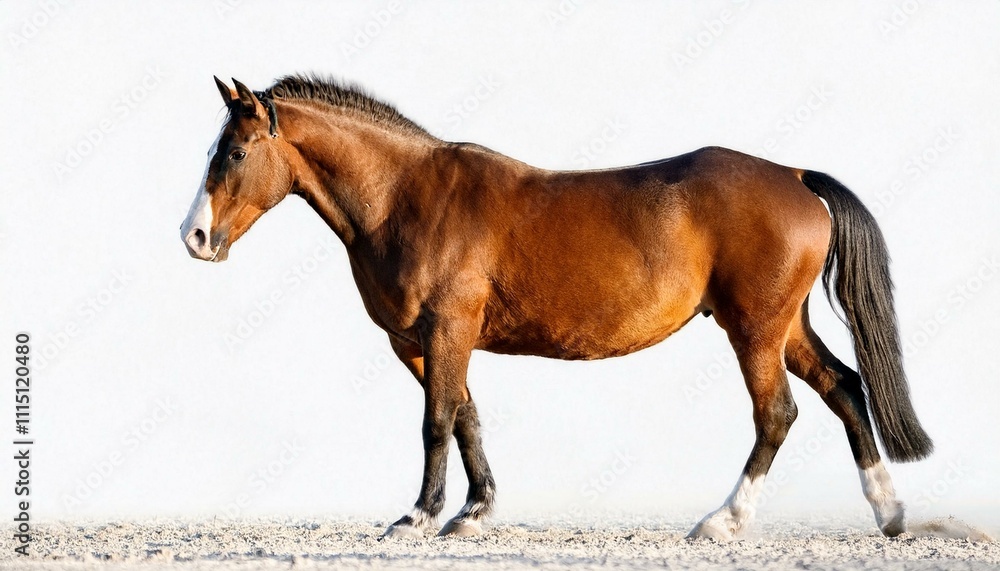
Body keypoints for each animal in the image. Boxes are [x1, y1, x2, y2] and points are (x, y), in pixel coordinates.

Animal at [180, 75, 933, 540]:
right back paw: (890, 512)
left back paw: (722, 521)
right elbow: (465, 417)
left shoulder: (446, 330)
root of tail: (794, 176)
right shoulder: (424, 341)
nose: (194, 236)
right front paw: (474, 511)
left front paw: (417, 517)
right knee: (845, 388)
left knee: (777, 414)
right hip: (786, 327)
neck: (405, 197)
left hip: (755, 330)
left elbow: (434, 423)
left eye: (236, 151)